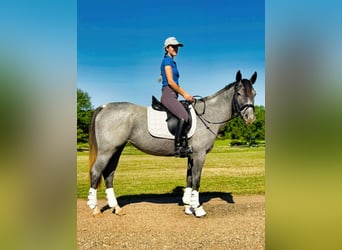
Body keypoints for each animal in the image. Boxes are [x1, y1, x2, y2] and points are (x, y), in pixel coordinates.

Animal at [87, 70, 256, 217]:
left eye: (254, 93)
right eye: (239, 93)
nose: (250, 118)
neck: (208, 114)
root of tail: (104, 107)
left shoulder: (191, 156)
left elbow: (189, 179)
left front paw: (188, 207)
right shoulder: (199, 155)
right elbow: (196, 180)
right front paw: (198, 209)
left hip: (117, 150)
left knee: (109, 174)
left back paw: (116, 208)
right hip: (107, 151)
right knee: (96, 172)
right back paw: (94, 209)